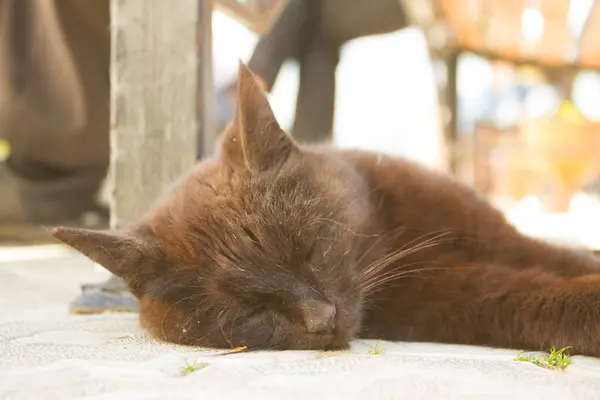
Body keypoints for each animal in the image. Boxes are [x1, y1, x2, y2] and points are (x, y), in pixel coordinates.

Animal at [50, 61, 600, 356]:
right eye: (248, 309)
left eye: (311, 249)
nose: (322, 317)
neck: (394, 233)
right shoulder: (445, 293)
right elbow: (528, 294)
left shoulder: (498, 234)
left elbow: (559, 256)